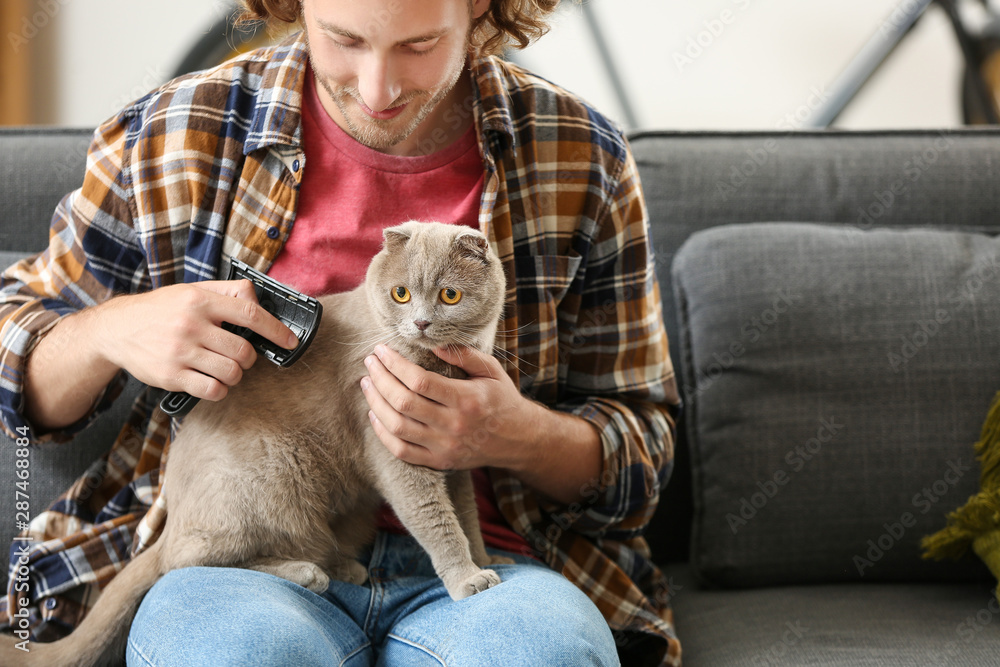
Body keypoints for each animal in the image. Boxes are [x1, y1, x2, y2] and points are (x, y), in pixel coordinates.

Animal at [1, 222, 508, 664]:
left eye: (449, 295)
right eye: (400, 293)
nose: (420, 323)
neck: (439, 367)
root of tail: (170, 519)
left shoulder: (455, 454)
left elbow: (465, 513)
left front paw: (488, 560)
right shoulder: (395, 454)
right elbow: (436, 521)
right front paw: (466, 579)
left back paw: (344, 566)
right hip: (272, 473)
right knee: (186, 560)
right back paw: (309, 571)